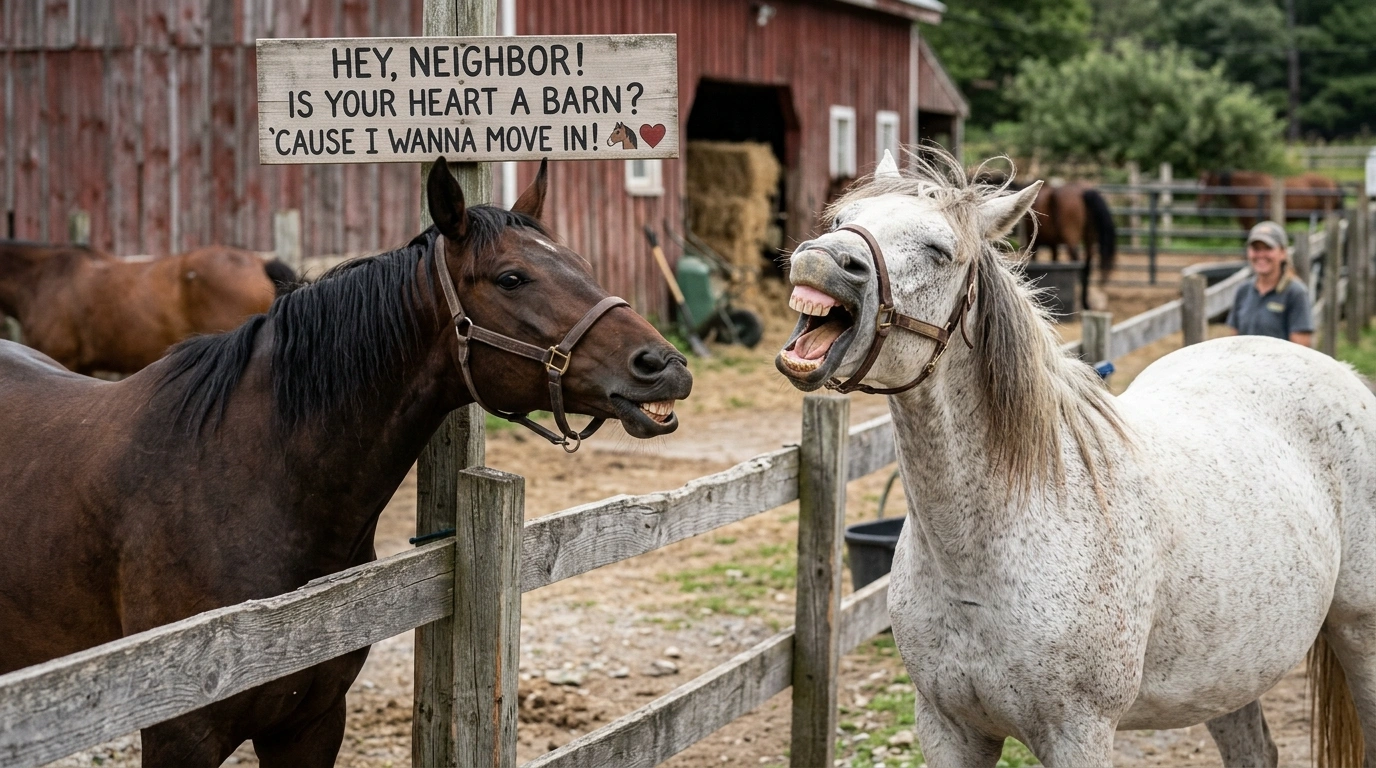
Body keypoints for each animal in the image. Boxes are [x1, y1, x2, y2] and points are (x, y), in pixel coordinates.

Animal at [1029, 181, 1117, 310]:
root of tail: (1084, 191)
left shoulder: (1035, 243)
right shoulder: (1053, 244)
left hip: (1071, 240)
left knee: (1078, 265)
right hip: (1089, 239)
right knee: (1086, 267)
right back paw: (1085, 304)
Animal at [1199, 170, 1343, 229]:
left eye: (1209, 186)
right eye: (1199, 184)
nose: (1200, 205)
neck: (1251, 189)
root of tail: (1332, 182)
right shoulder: (1244, 222)